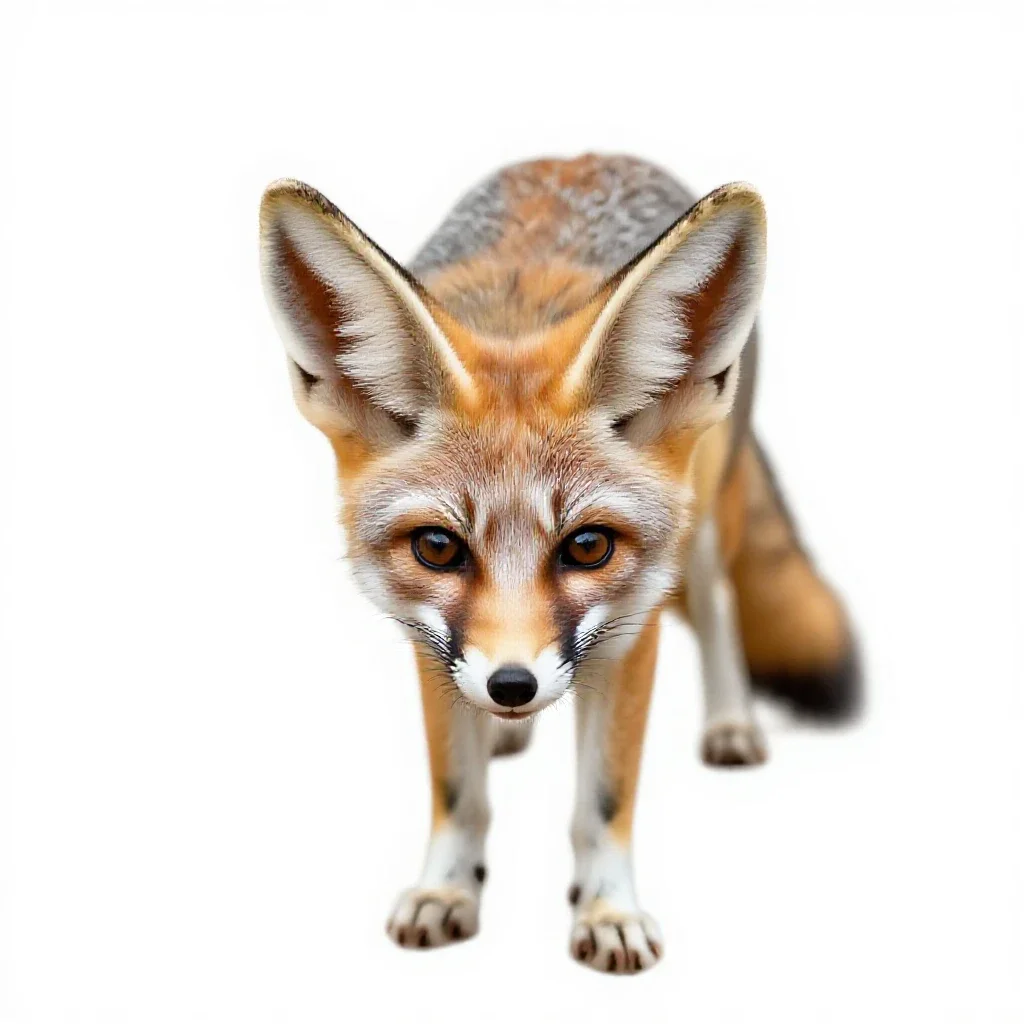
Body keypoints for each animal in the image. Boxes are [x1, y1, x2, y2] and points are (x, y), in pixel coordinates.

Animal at [258, 154, 859, 974]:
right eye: (437, 548)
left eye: (588, 546)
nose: (512, 686)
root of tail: (592, 154)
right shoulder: (429, 643)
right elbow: (458, 790)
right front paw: (447, 888)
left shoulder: (632, 633)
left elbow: (602, 800)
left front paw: (609, 910)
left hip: (704, 520)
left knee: (720, 602)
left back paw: (732, 722)